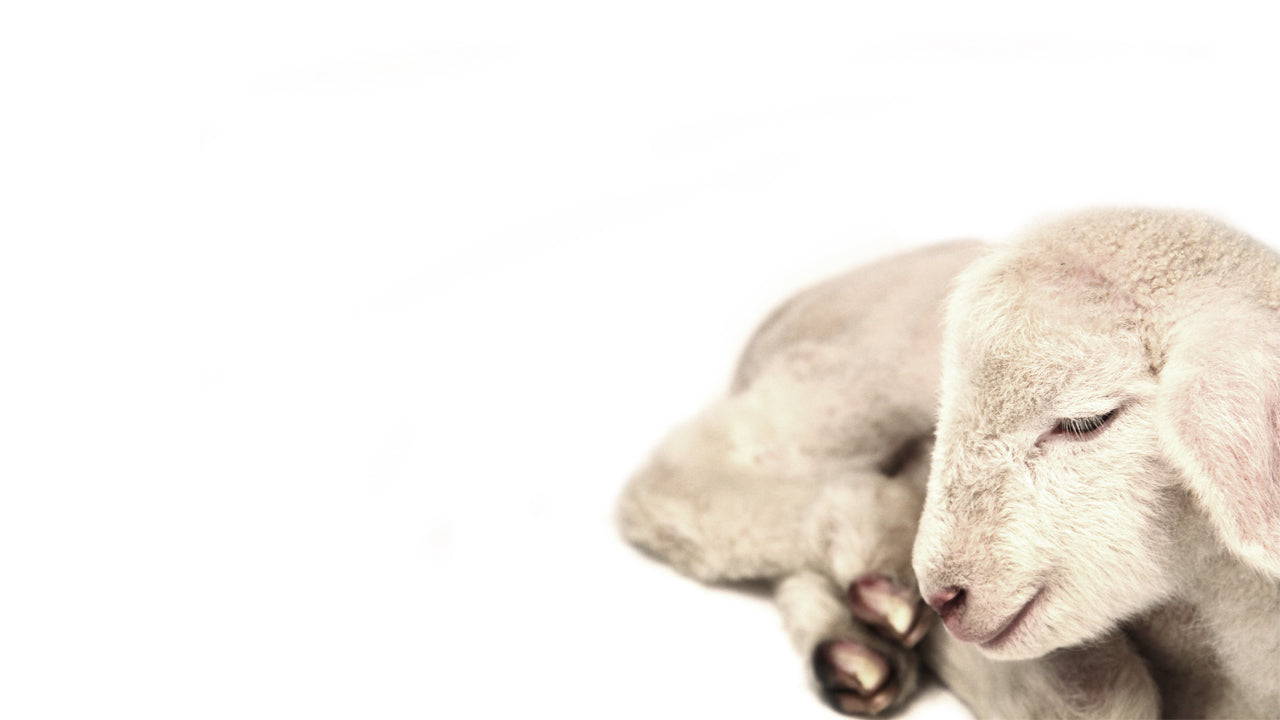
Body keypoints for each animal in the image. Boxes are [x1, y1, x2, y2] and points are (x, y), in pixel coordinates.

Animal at [617, 208, 1280, 718]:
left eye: (1086, 422)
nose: (944, 598)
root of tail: (790, 307)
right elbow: (1105, 698)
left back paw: (856, 648)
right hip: (869, 367)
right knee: (679, 476)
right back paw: (878, 535)